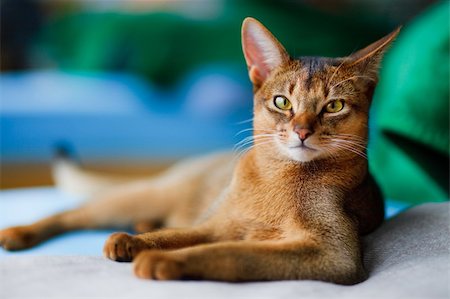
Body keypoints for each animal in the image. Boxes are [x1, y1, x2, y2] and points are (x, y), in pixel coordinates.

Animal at [0, 17, 400, 286]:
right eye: (282, 102)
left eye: (334, 106)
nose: (302, 131)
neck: (279, 177)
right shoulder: (216, 224)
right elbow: (177, 236)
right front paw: (136, 244)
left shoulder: (334, 254)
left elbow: (234, 253)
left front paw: (159, 260)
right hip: (146, 193)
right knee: (74, 212)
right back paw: (21, 233)